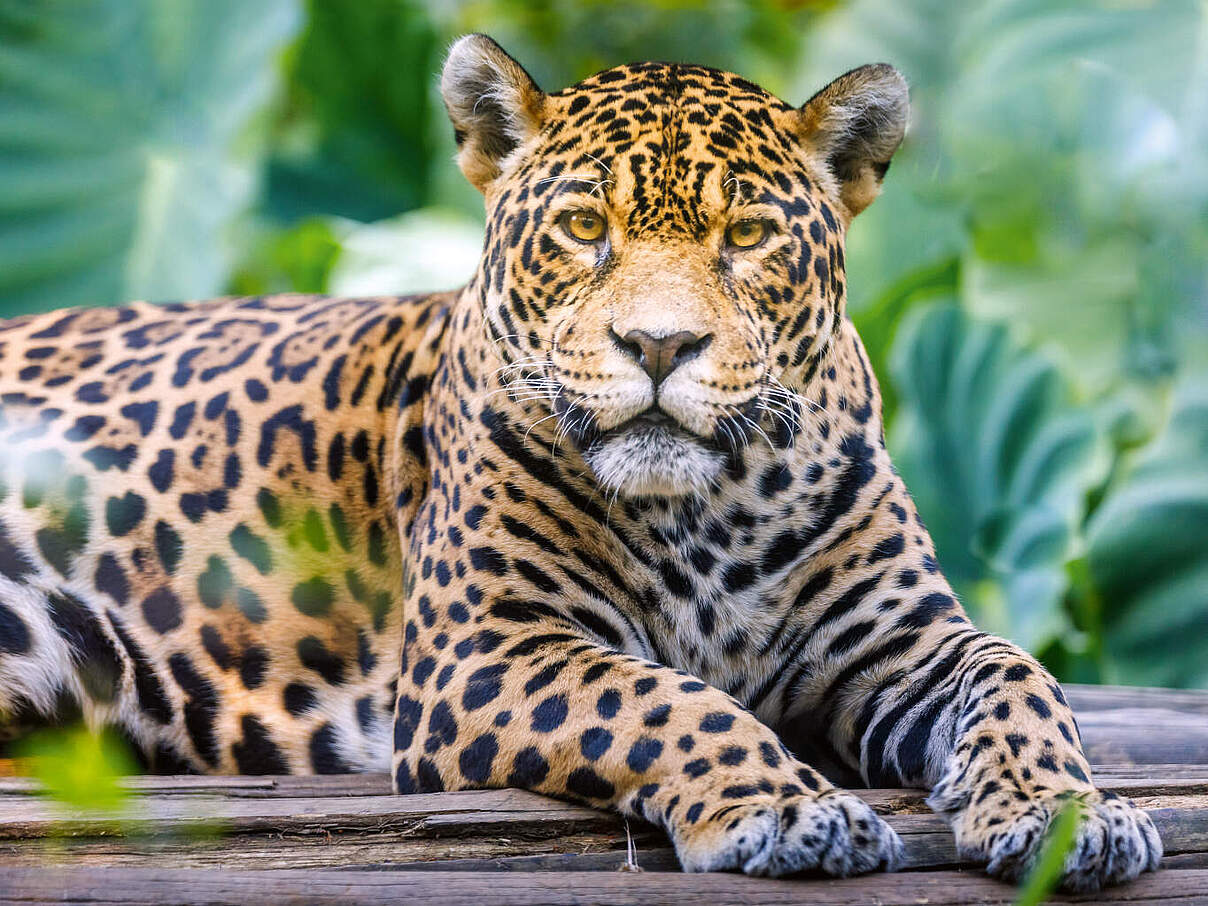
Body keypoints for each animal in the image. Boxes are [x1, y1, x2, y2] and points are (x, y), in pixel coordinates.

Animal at [0, 34, 1161, 892]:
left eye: (746, 235)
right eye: (581, 225)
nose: (657, 345)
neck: (708, 513)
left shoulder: (898, 642)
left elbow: (1019, 674)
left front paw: (1071, 812)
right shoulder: (487, 649)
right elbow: (658, 698)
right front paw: (786, 809)